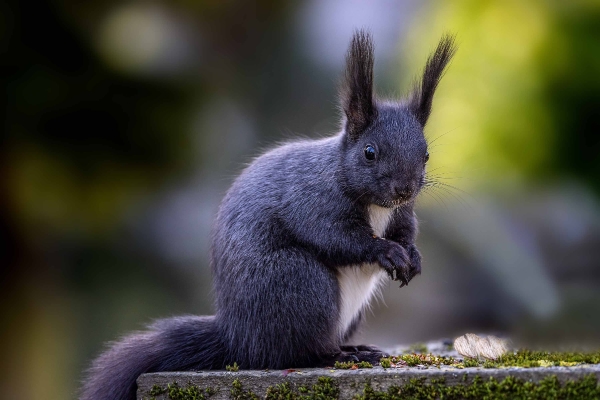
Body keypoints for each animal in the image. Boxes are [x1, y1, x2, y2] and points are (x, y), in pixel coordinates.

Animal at [78, 29, 454, 398]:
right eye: (370, 152)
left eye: (426, 155)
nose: (404, 190)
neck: (376, 205)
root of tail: (238, 338)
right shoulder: (313, 201)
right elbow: (338, 238)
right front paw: (385, 251)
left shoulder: (401, 214)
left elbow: (406, 232)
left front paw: (413, 256)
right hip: (299, 284)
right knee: (296, 352)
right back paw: (342, 356)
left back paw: (352, 348)